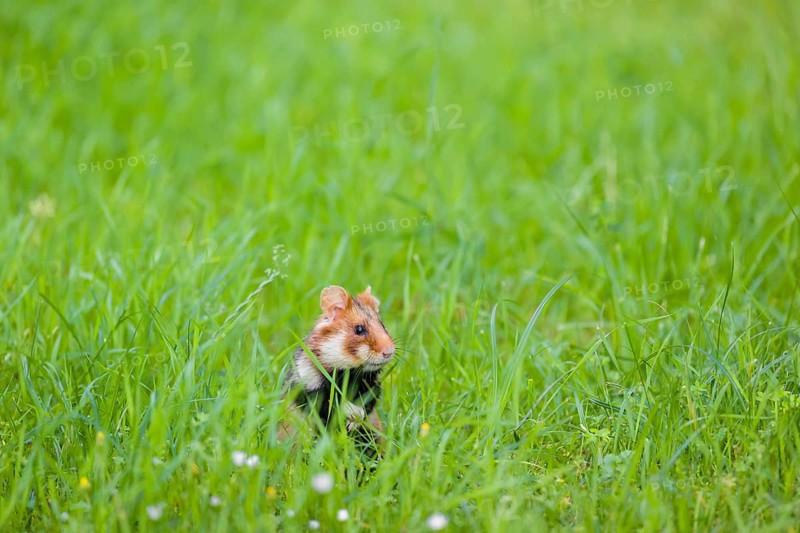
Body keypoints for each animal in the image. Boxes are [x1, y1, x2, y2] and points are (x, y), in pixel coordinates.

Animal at [281, 285, 396, 441]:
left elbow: (368, 403)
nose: (389, 351)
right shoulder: (306, 388)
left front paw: (355, 421)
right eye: (359, 329)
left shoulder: (372, 387)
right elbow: (329, 403)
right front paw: (353, 412)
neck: (351, 372)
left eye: (382, 325)